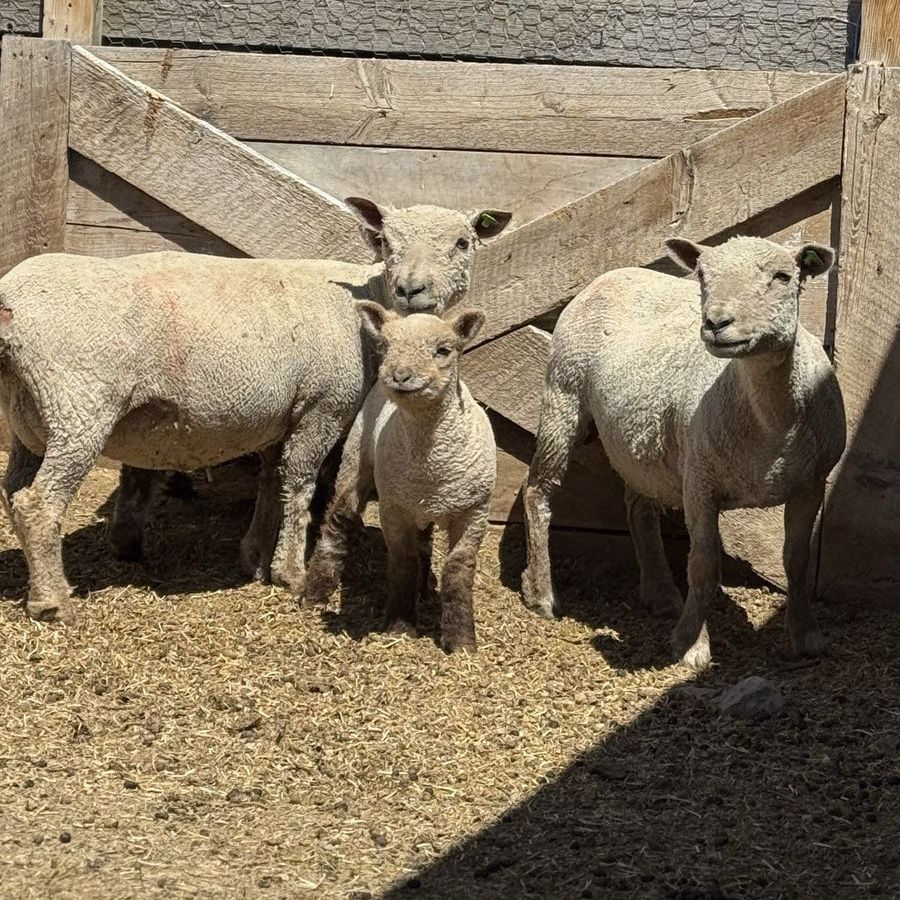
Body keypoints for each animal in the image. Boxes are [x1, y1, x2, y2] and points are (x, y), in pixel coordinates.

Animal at [316, 302, 496, 653]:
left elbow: (457, 571)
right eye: (386, 347)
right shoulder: (393, 508)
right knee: (337, 519)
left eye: (444, 350)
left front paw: (461, 641)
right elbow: (403, 561)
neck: (431, 467)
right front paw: (400, 626)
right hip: (356, 460)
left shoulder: (474, 512)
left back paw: (424, 590)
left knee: (424, 543)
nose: (399, 376)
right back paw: (312, 593)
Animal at [521, 235, 847, 668]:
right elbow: (703, 564)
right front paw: (692, 644)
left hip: (639, 445)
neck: (769, 423)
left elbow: (797, 559)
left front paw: (807, 635)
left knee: (637, 507)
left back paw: (660, 593)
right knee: (538, 492)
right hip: (563, 392)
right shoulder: (699, 483)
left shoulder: (811, 482)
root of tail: (616, 271)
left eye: (783, 276)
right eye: (703, 274)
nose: (716, 323)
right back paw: (541, 594)